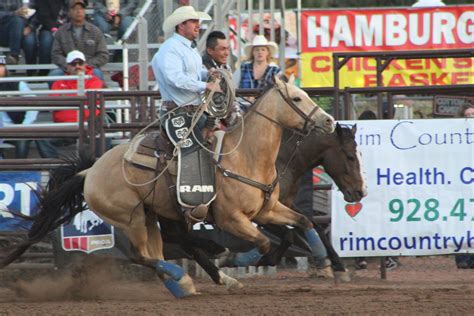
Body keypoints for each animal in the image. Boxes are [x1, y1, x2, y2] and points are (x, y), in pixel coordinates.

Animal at [0, 75, 334, 298]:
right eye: (297, 99)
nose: (330, 121)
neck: (245, 156)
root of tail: (91, 172)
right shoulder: (231, 219)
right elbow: (263, 243)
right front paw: (232, 259)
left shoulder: (268, 209)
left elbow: (303, 223)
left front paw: (325, 264)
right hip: (131, 217)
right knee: (142, 256)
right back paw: (186, 277)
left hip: (152, 216)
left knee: (160, 251)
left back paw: (184, 284)